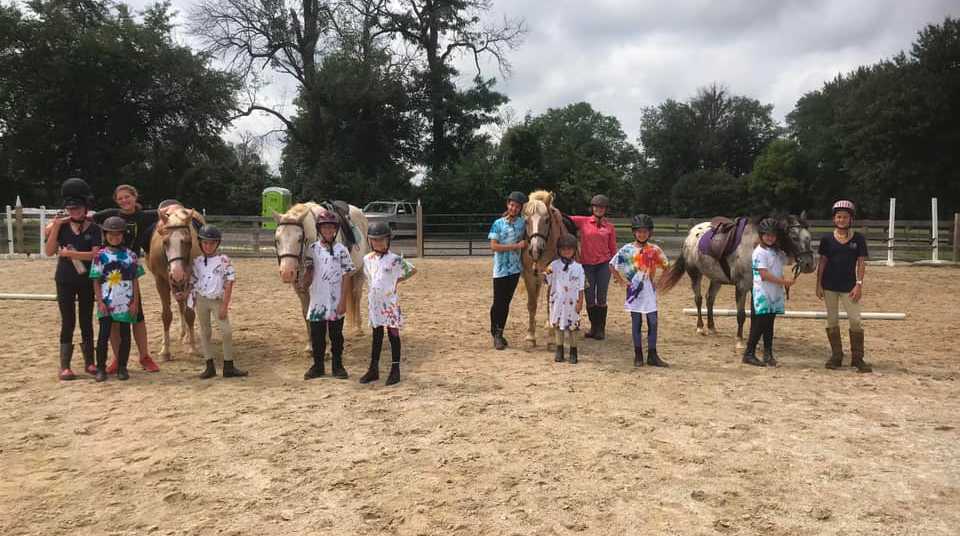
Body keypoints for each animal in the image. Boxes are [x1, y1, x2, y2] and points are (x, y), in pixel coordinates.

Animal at [147, 207, 203, 358]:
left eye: (188, 242)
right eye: (165, 242)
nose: (177, 274)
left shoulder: (191, 282)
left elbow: (190, 314)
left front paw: (192, 347)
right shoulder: (160, 282)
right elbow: (166, 315)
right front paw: (165, 349)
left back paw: (187, 336)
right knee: (180, 305)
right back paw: (182, 334)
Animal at [519, 190, 565, 347]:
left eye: (546, 220)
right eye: (526, 221)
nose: (535, 250)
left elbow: (551, 306)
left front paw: (551, 339)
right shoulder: (529, 277)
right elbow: (532, 305)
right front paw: (530, 336)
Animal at [657, 213, 817, 349]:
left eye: (809, 237)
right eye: (794, 237)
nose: (809, 264)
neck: (754, 247)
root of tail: (691, 233)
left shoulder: (754, 287)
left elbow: (754, 315)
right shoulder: (742, 286)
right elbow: (741, 315)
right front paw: (739, 341)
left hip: (716, 278)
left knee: (710, 299)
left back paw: (712, 327)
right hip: (695, 274)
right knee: (699, 299)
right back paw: (701, 327)